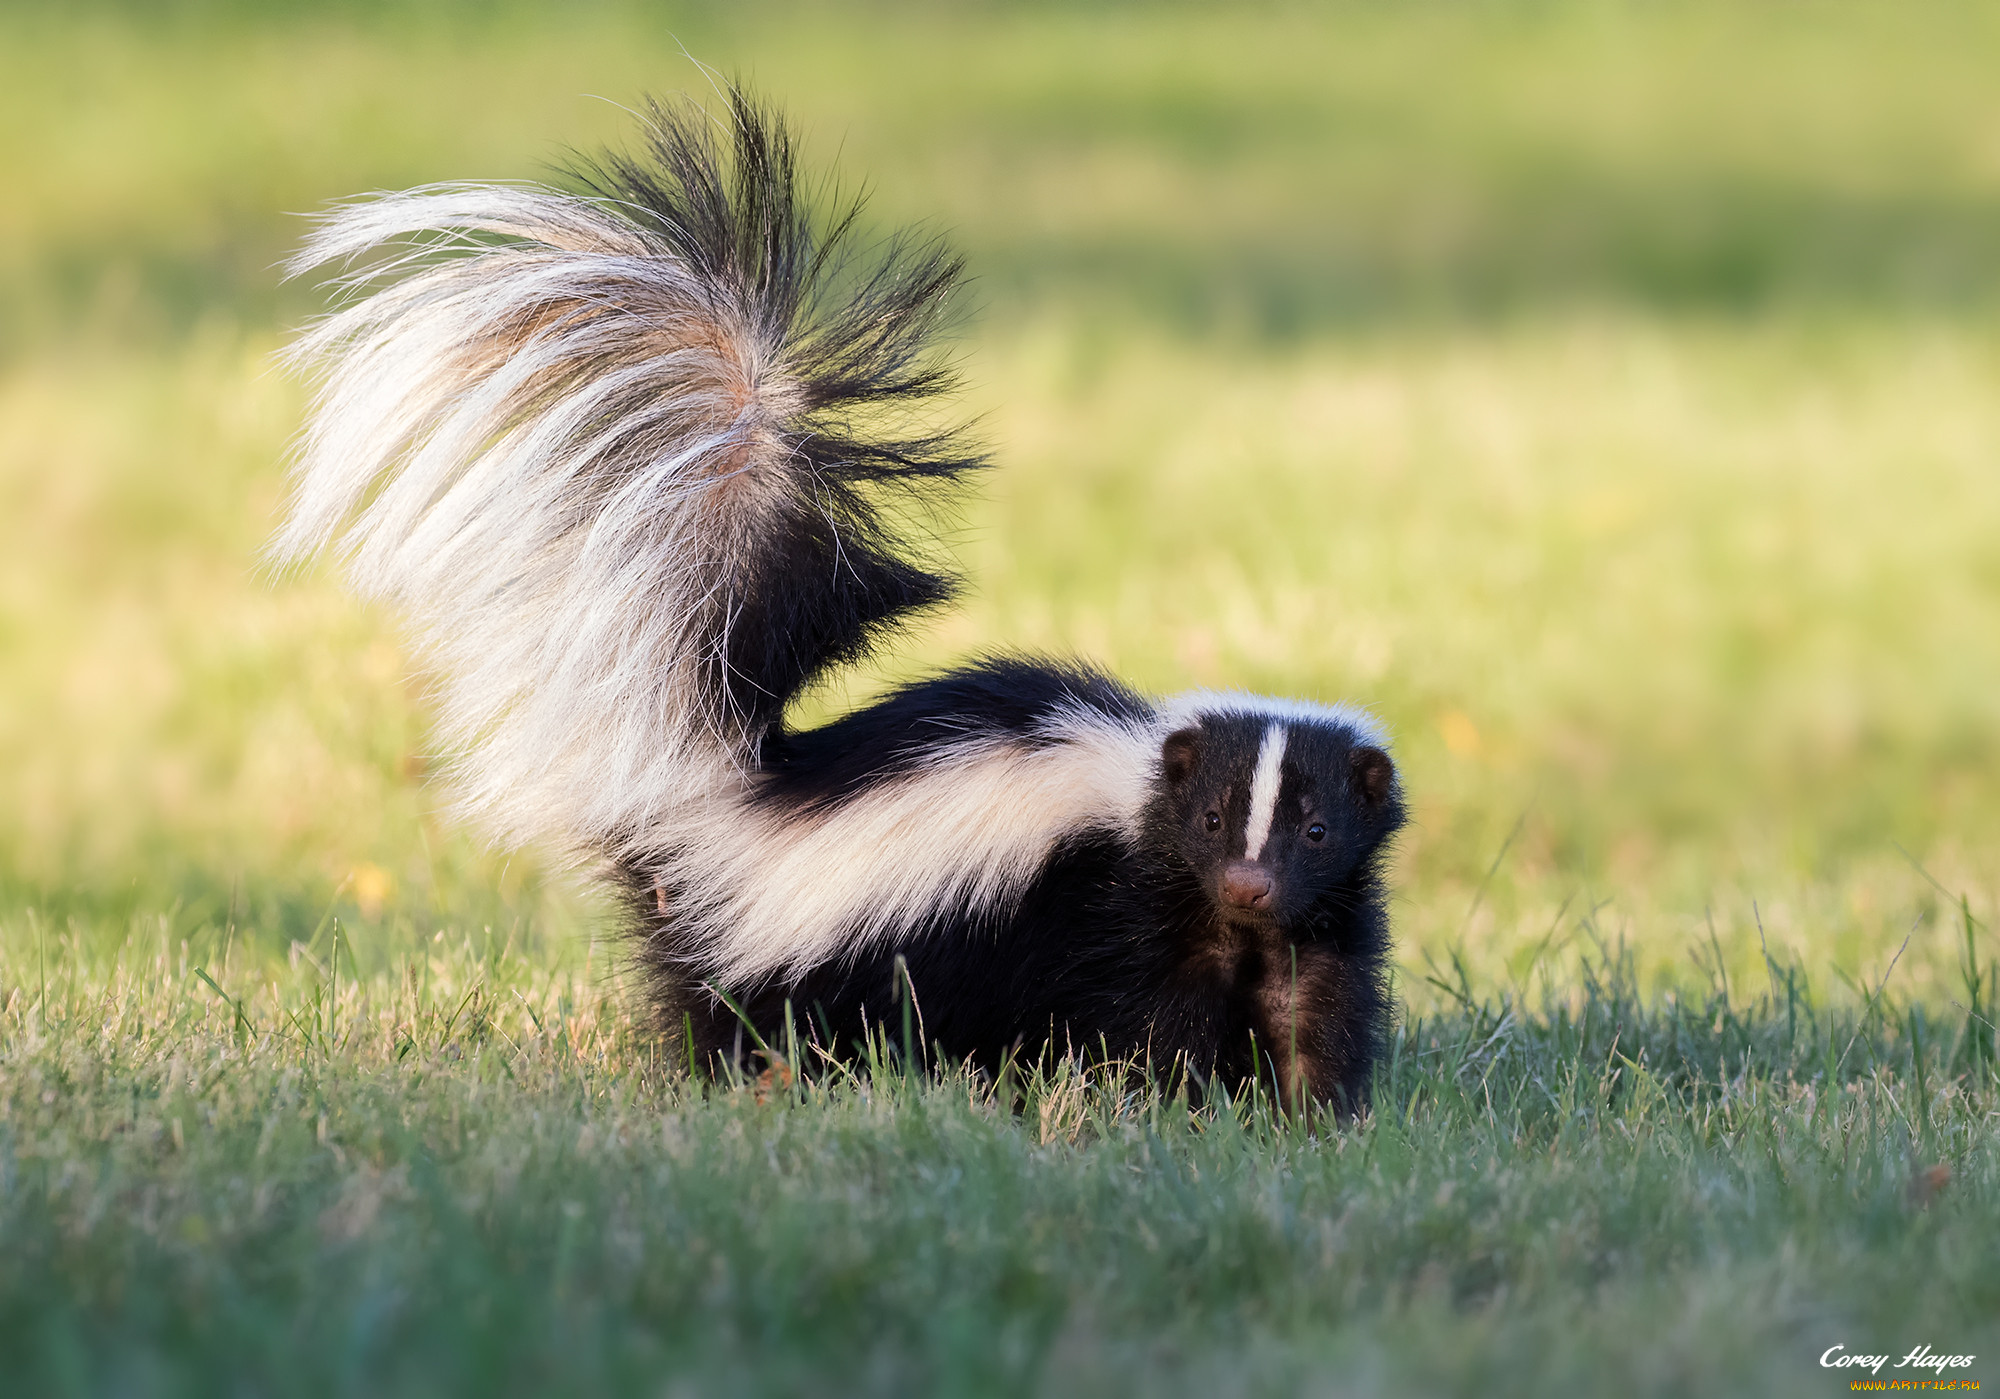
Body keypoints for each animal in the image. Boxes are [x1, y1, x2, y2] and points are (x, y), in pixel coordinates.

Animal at [274, 89, 1408, 1111]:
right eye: (1212, 815)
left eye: (1315, 831)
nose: (1249, 883)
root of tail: (724, 789)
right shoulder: (1116, 907)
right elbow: (1146, 1025)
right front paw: (1181, 1105)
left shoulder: (1314, 919)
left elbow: (1311, 1007)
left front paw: (1310, 1117)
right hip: (791, 953)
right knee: (750, 1021)